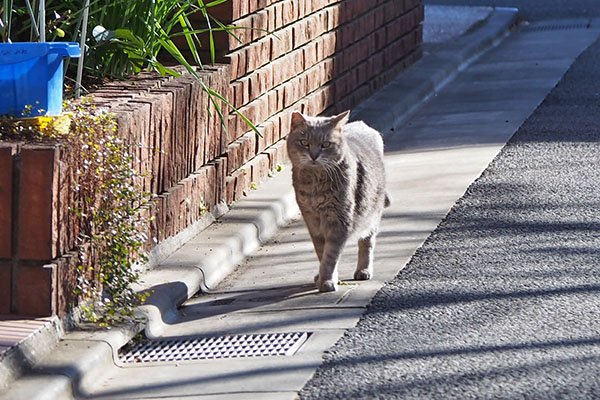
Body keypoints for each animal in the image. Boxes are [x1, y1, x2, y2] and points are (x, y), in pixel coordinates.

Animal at [288, 111, 392, 292]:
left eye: (326, 144)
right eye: (304, 143)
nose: (314, 155)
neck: (315, 183)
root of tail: (362, 124)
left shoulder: (339, 220)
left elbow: (330, 255)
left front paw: (327, 281)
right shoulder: (312, 221)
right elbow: (321, 252)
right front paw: (325, 277)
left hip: (371, 214)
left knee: (367, 243)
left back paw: (363, 270)